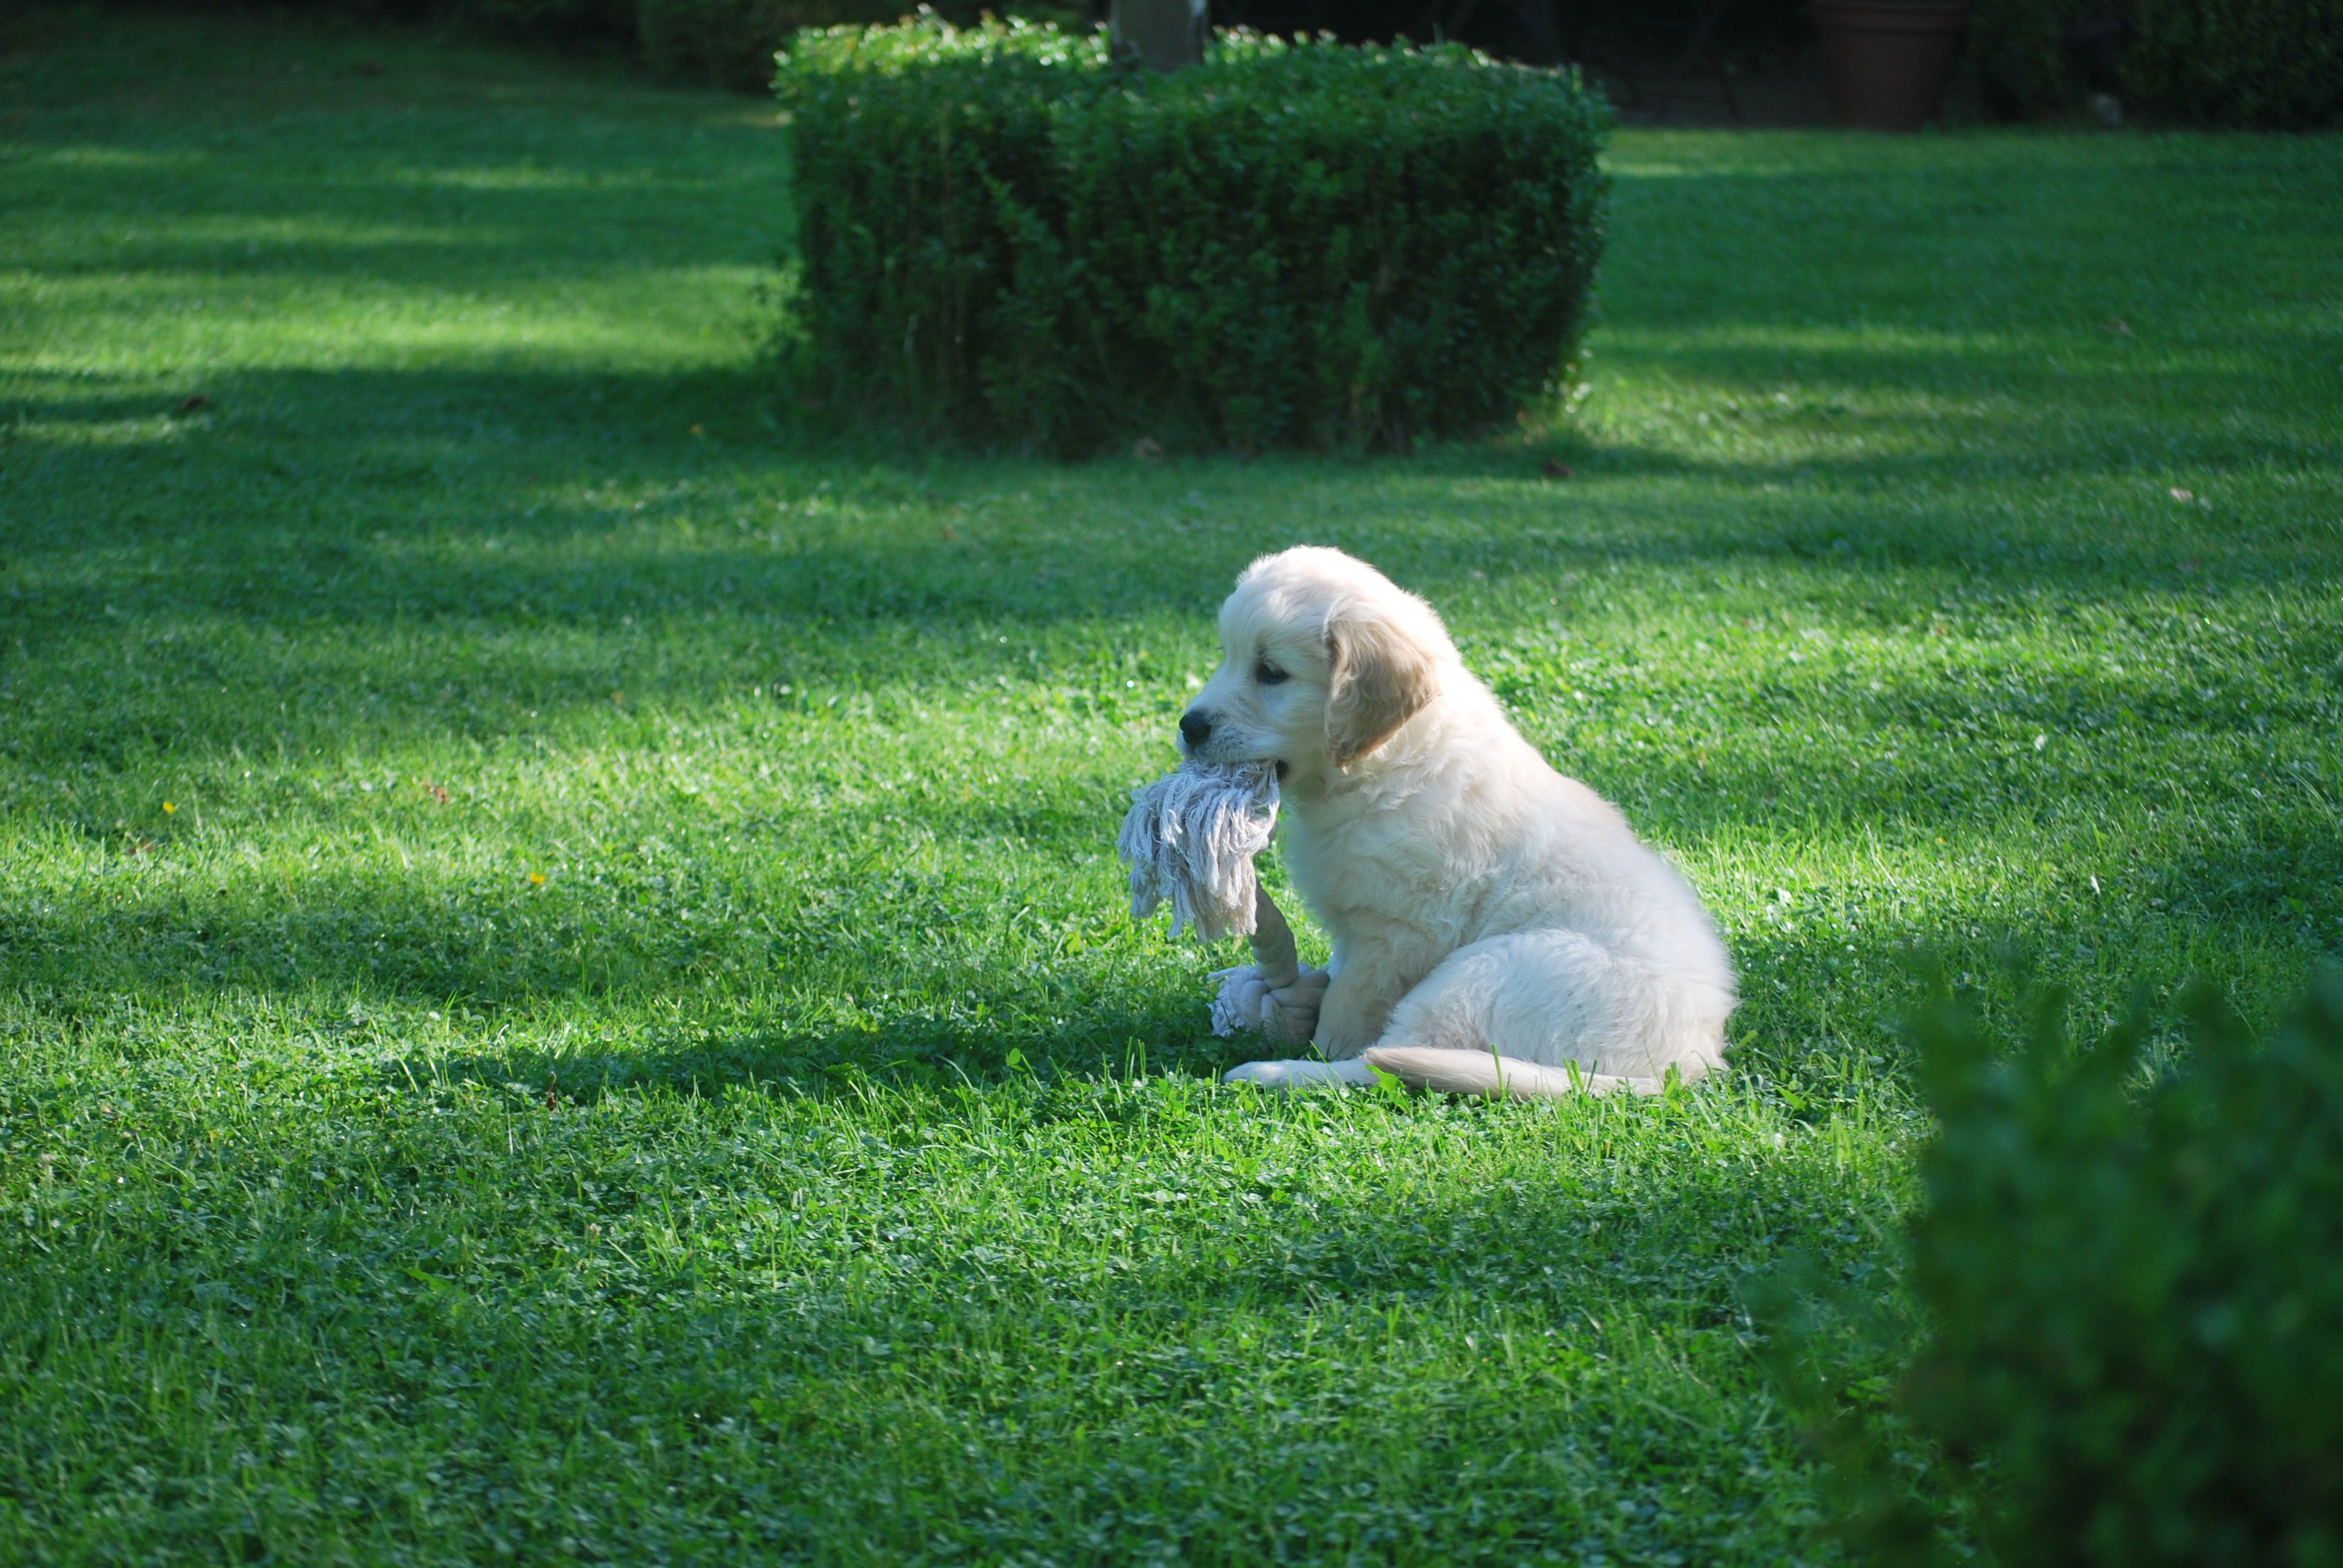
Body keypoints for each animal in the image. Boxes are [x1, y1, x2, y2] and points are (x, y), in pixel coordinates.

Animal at [1190, 543, 1743, 1097]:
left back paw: (1272, 1073)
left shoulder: (1396, 932)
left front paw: (1318, 1038)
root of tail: (1681, 1068)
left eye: (1271, 672)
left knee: (1383, 1062)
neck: (1387, 767)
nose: (1188, 725)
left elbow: (1346, 1010)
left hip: (1481, 974)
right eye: (1227, 655)